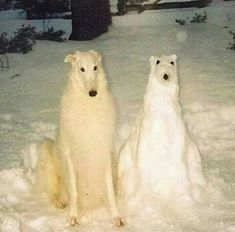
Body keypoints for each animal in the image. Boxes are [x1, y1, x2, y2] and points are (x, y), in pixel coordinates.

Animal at [36, 49, 126, 227]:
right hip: (46, 150)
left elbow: (110, 192)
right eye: (82, 69)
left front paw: (116, 217)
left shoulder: (103, 151)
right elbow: (74, 192)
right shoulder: (70, 156)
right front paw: (73, 217)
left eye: (95, 67)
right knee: (54, 191)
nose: (93, 93)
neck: (88, 106)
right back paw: (60, 201)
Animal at [118, 54, 207, 212]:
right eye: (158, 62)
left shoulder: (177, 126)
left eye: (172, 62)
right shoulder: (147, 129)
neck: (162, 105)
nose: (166, 75)